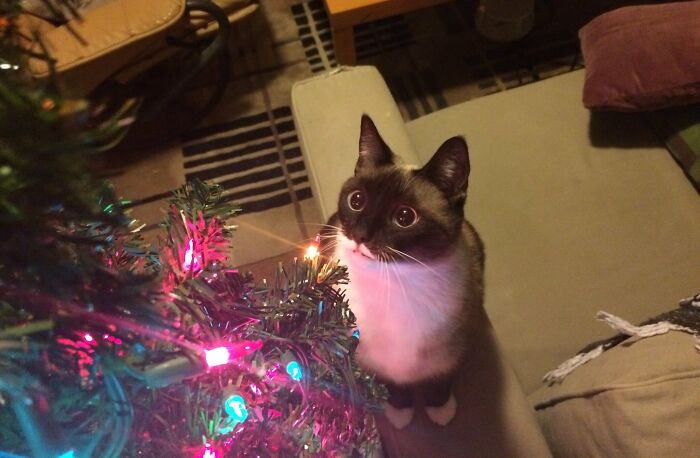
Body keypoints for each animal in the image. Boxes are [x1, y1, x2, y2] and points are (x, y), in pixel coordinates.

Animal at [322, 114, 482, 430]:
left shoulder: (452, 349)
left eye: (405, 217)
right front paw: (400, 411)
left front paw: (440, 410)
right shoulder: (368, 355)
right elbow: (390, 384)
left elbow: (441, 379)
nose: (359, 236)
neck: (394, 282)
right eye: (356, 201)